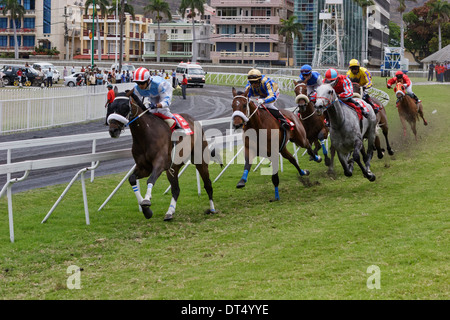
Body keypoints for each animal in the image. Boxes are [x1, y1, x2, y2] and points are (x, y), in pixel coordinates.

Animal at [107, 89, 216, 221]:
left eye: (124, 107)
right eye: (111, 106)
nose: (113, 130)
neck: (145, 135)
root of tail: (192, 119)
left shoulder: (160, 163)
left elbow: (151, 179)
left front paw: (147, 200)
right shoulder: (144, 167)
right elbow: (132, 179)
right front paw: (146, 211)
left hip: (200, 160)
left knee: (208, 184)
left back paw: (212, 209)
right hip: (173, 167)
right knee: (176, 189)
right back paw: (169, 212)